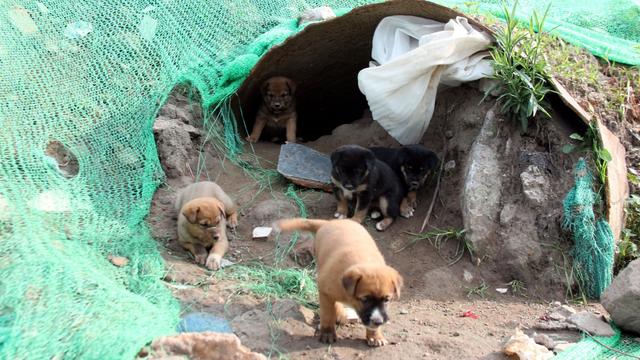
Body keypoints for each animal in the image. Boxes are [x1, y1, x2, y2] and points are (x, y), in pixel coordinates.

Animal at [274, 218, 402, 348]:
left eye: (386, 300)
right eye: (365, 299)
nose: (378, 322)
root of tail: (329, 222)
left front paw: (375, 336)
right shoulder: (324, 292)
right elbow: (328, 314)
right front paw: (328, 333)